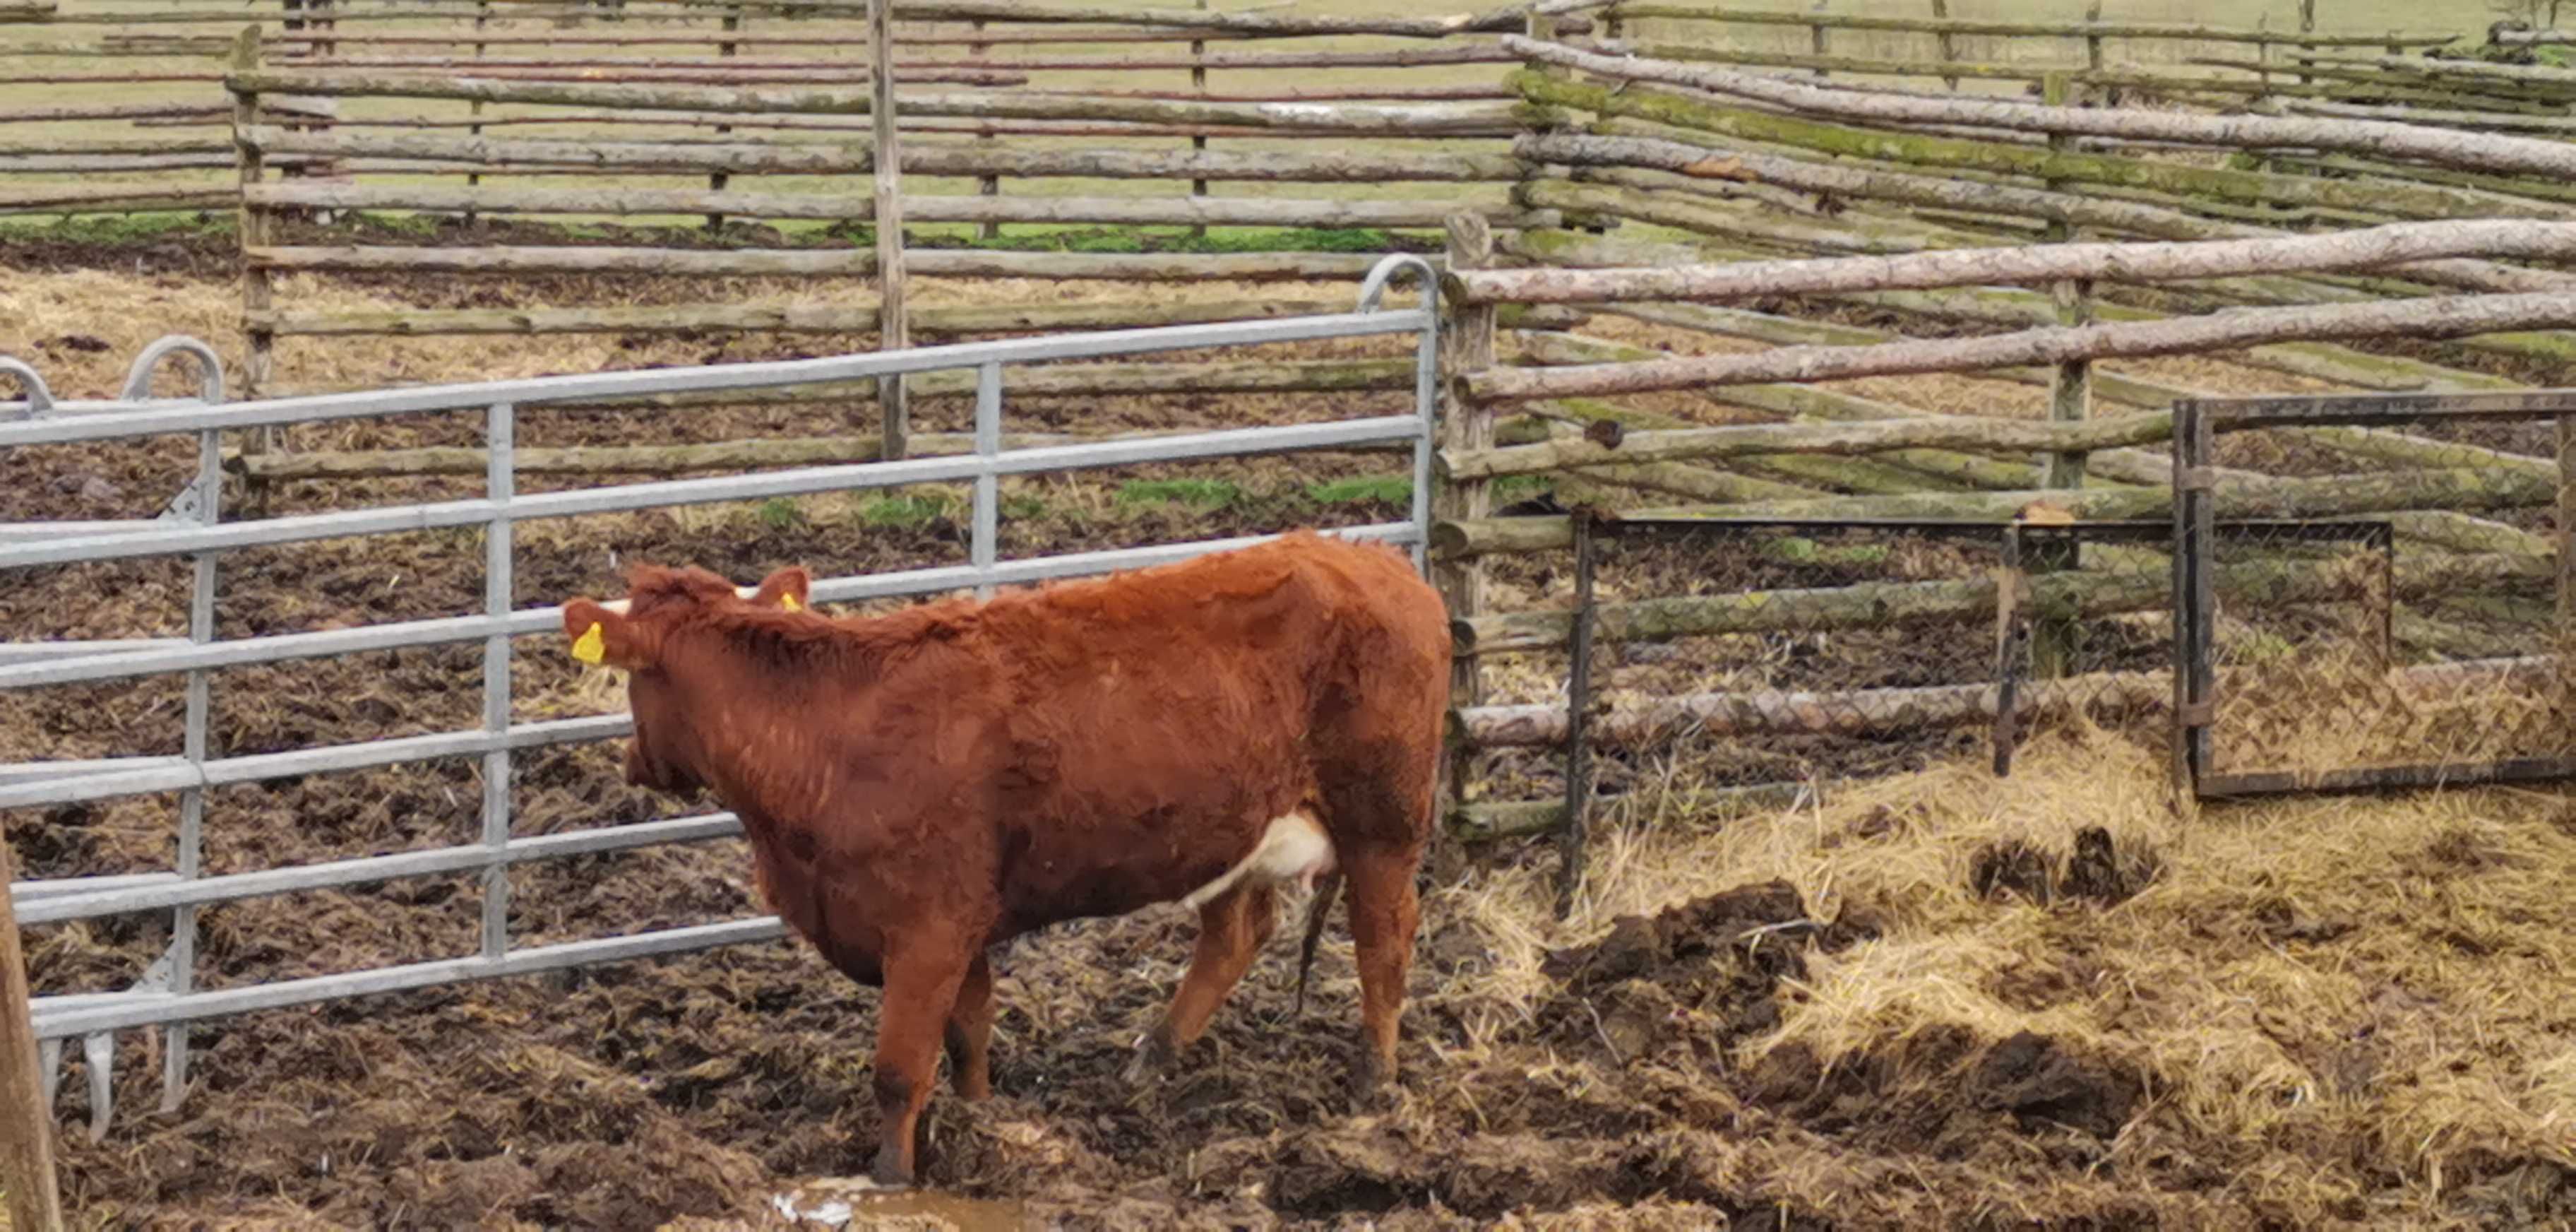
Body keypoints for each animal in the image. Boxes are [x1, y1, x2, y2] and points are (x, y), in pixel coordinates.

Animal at [559, 533, 1453, 1190]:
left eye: (631, 682)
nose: (634, 762)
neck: (829, 730)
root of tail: (1373, 557)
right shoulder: (961, 926)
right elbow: (968, 1041)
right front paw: (979, 1125)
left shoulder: (925, 930)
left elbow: (898, 1071)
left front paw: (891, 1180)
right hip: (1232, 828)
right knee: (1237, 931)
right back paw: (1152, 1058)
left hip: (1383, 820)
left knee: (1384, 939)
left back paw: (1374, 1080)